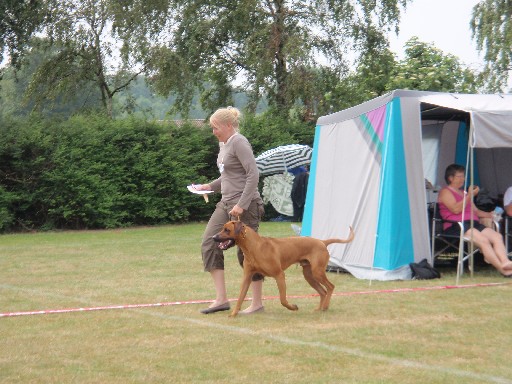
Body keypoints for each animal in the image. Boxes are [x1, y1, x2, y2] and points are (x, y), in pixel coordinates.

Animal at [211, 220, 352, 316]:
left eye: (227, 230)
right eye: (222, 229)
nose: (213, 237)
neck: (254, 247)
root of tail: (322, 242)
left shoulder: (279, 275)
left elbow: (283, 299)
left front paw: (293, 307)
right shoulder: (247, 277)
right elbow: (240, 297)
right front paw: (234, 313)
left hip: (317, 272)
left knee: (330, 287)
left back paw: (325, 306)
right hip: (309, 275)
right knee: (322, 291)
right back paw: (319, 309)